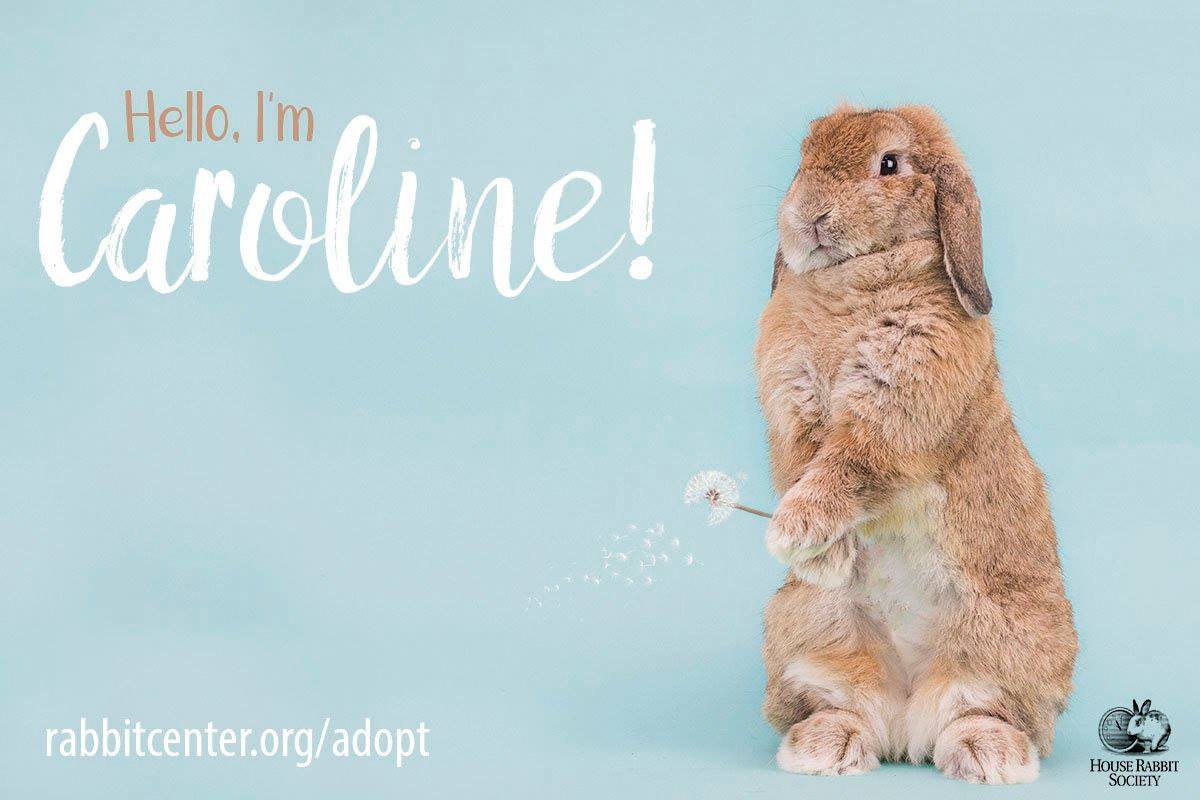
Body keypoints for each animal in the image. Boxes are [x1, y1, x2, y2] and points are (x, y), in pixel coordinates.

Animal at [756, 104, 1077, 784]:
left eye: (889, 163)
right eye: (804, 155)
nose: (808, 216)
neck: (849, 285)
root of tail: (906, 717)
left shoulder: (896, 413)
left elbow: (847, 468)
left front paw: (793, 532)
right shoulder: (792, 414)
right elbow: (800, 466)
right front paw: (823, 557)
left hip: (1011, 646)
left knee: (979, 711)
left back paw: (991, 758)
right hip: (806, 632)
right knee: (841, 704)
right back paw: (824, 747)